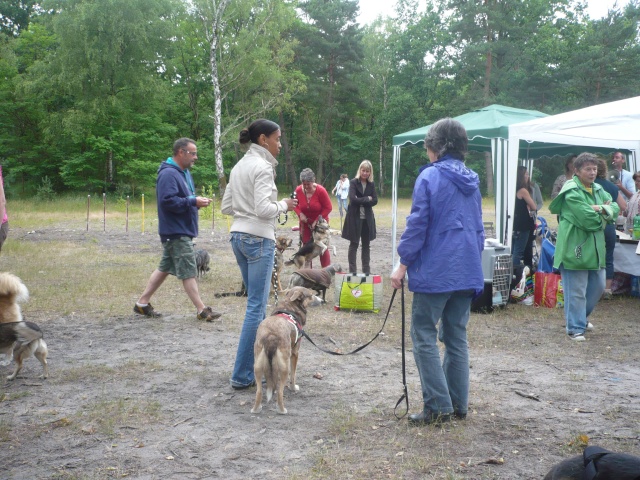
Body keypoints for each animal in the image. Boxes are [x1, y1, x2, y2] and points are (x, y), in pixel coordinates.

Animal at [252, 286, 318, 414]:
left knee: (259, 391)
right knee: (280, 392)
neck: (289, 306)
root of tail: (271, 336)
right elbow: (293, 375)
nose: (320, 299)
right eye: (311, 295)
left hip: (257, 365)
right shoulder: (295, 353)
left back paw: (256, 409)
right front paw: (294, 388)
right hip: (284, 366)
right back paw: (282, 410)